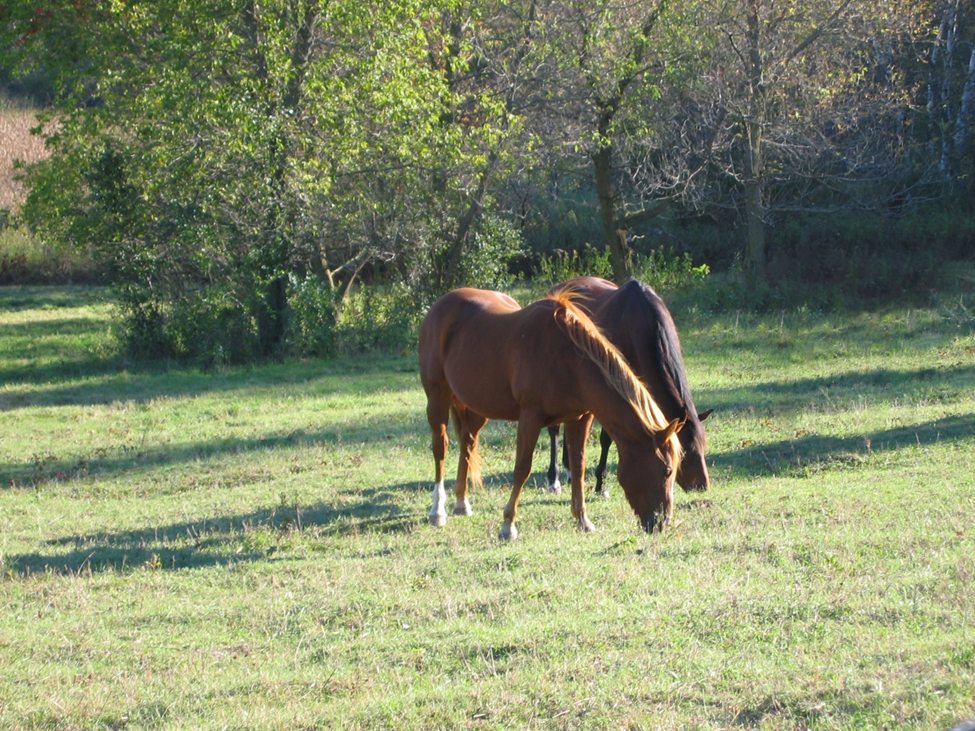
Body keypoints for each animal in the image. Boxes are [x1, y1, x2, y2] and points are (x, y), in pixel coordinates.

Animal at [418, 287, 684, 539]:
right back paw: (437, 511)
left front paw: (583, 519)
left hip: (477, 407)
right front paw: (508, 525)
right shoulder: (530, 417)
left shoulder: (580, 419)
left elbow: (578, 467)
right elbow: (522, 469)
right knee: (440, 447)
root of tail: (440, 306)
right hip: (438, 396)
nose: (662, 523)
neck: (569, 358)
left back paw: (462, 502)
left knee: (467, 443)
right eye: (666, 471)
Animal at [545, 277, 712, 495]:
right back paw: (553, 479)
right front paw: (600, 484)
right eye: (683, 452)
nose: (702, 486)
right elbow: (607, 438)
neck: (639, 323)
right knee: (554, 429)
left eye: (703, 445)